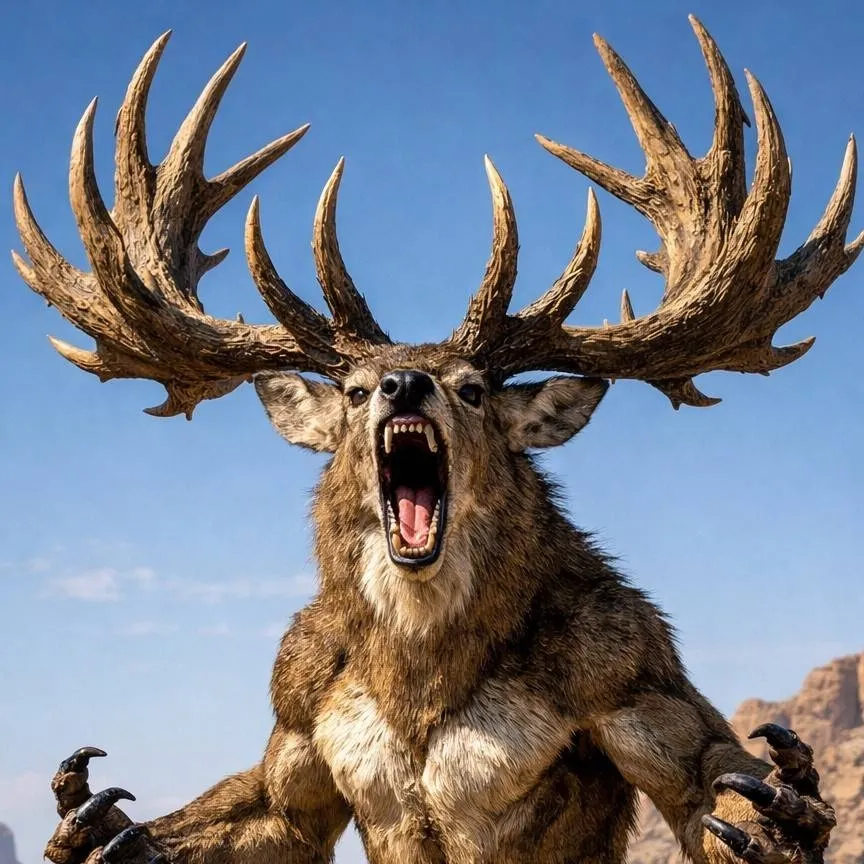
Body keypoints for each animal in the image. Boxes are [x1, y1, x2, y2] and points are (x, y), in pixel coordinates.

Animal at [13, 15, 859, 864]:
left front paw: (786, 815)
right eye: (355, 390)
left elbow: (705, 783)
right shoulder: (295, 698)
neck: (419, 680)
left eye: (473, 388)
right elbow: (268, 812)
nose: (403, 383)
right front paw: (95, 829)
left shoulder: (627, 663)